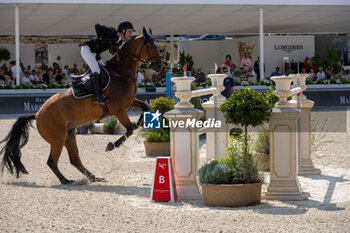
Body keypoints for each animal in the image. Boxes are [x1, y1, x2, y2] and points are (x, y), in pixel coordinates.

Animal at [0, 27, 163, 184]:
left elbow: (145, 108)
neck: (121, 74)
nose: (159, 66)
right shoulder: (117, 108)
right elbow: (129, 129)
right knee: (52, 161)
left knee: (74, 160)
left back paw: (93, 177)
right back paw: (66, 180)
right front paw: (112, 145)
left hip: (69, 135)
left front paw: (139, 123)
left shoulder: (128, 102)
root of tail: (38, 114)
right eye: (150, 46)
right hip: (58, 138)